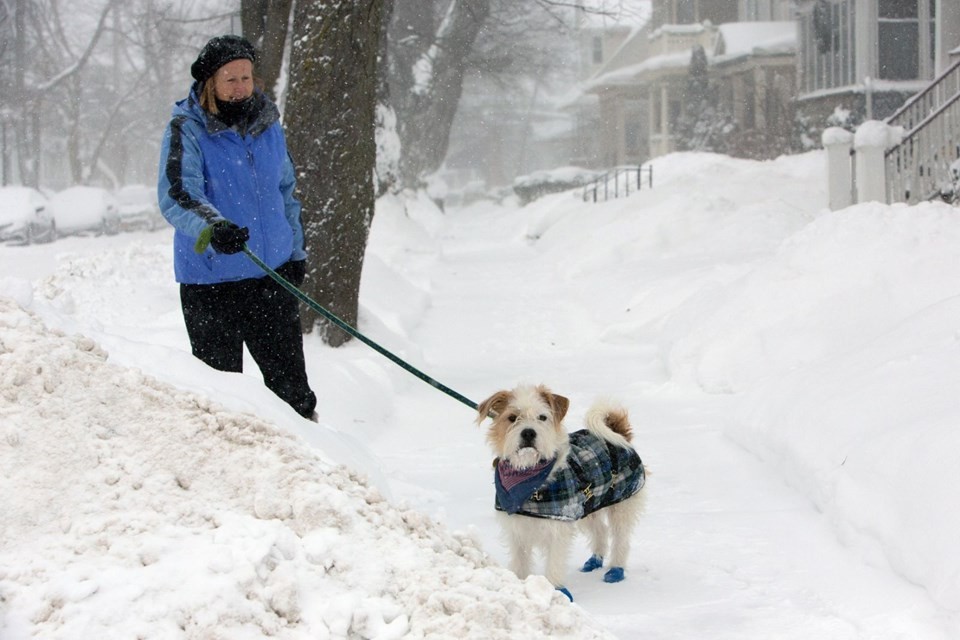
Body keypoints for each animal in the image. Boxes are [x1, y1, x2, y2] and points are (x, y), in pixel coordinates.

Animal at [478, 384, 648, 600]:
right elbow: (520, 562)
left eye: (542, 417)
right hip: (588, 505)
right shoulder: (517, 530)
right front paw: (519, 586)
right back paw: (595, 560)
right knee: (601, 530)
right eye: (512, 417)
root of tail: (617, 432)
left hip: (621, 505)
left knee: (621, 539)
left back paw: (615, 570)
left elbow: (554, 563)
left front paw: (556, 592)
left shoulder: (558, 529)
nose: (528, 433)